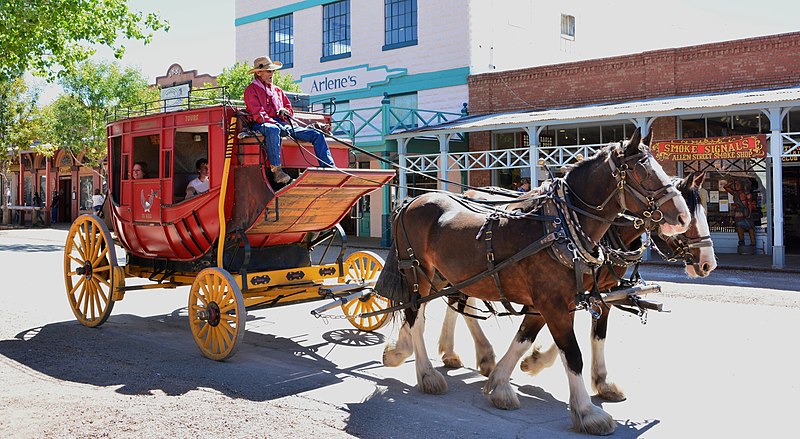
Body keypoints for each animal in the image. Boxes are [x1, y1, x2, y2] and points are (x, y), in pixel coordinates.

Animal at [376, 129, 688, 434]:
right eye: (641, 172)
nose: (682, 217)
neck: (560, 228)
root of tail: (411, 201)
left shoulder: (552, 303)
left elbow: (525, 339)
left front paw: (501, 383)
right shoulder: (554, 304)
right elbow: (571, 353)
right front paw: (587, 413)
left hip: (446, 275)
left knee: (444, 306)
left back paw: (411, 351)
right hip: (418, 273)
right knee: (416, 317)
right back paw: (426, 373)